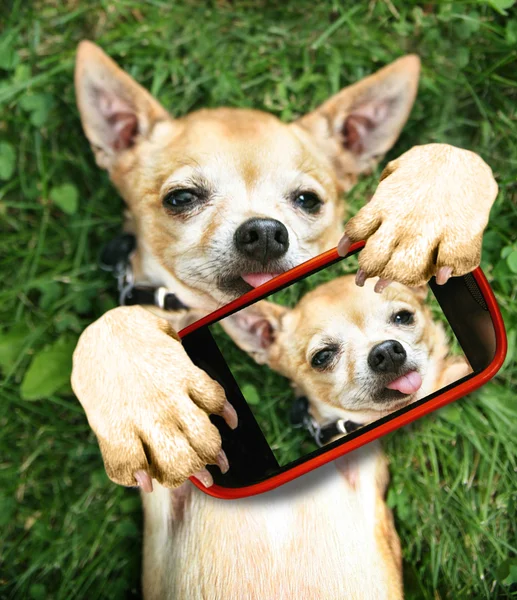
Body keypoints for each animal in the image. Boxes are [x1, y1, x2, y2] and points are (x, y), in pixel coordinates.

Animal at [69, 39, 496, 596]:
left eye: (307, 200)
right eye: (181, 198)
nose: (265, 232)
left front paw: (427, 204)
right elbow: (104, 326)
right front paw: (155, 404)